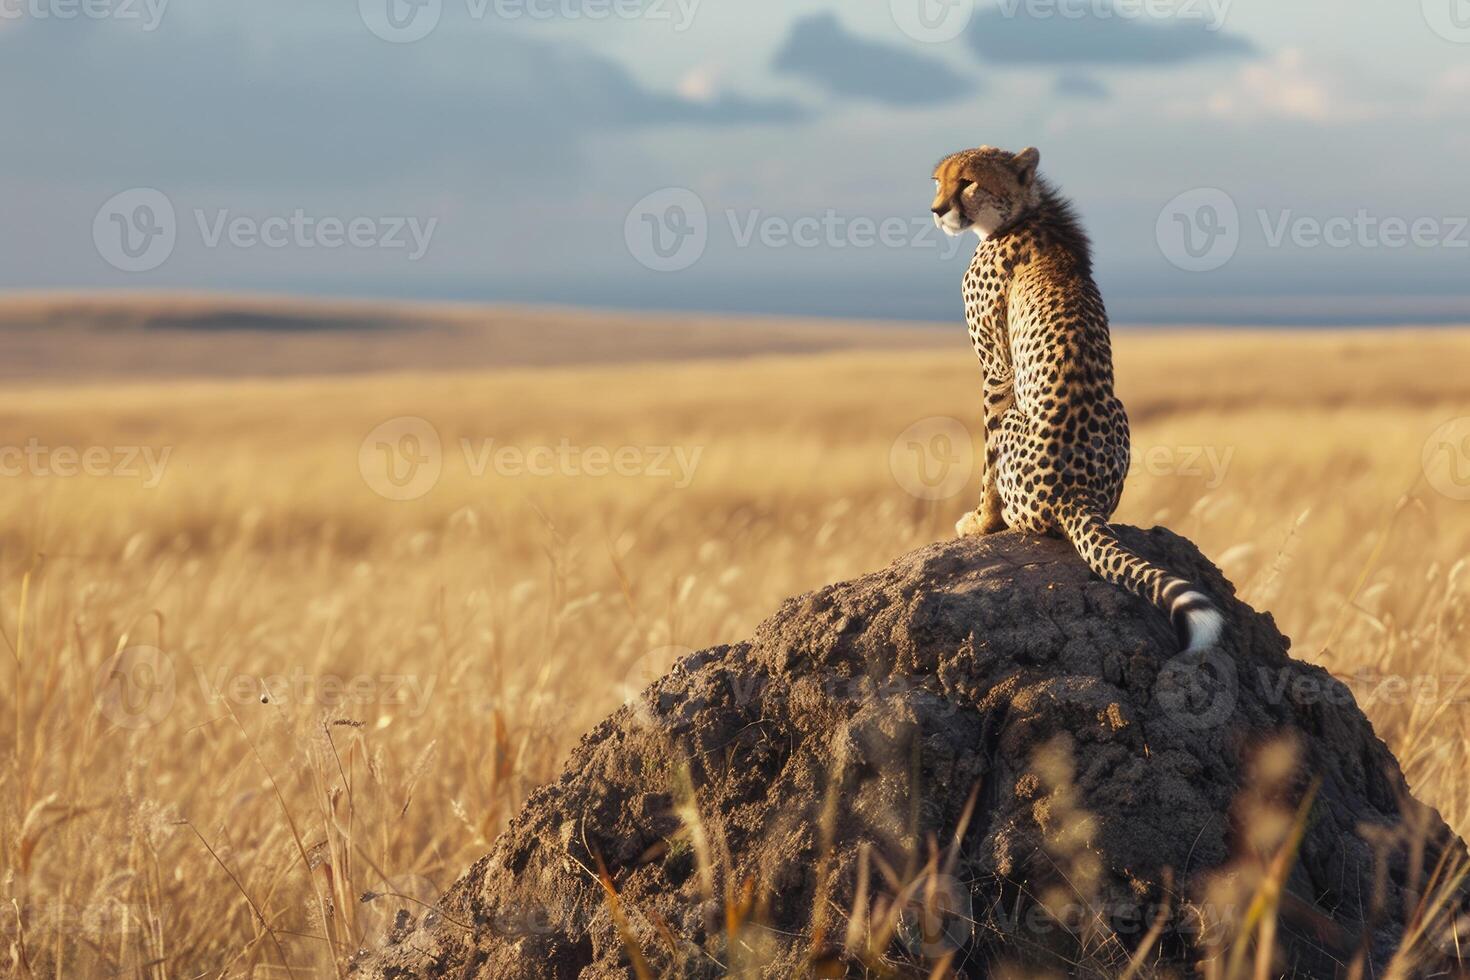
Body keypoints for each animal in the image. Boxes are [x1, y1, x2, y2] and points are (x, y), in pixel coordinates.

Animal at [929, 143, 1228, 652]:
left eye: (967, 182)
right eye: (938, 180)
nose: (937, 210)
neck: (1024, 213)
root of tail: (1077, 494)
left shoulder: (997, 371)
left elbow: (985, 462)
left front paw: (980, 523)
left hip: (1018, 421)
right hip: (1120, 410)